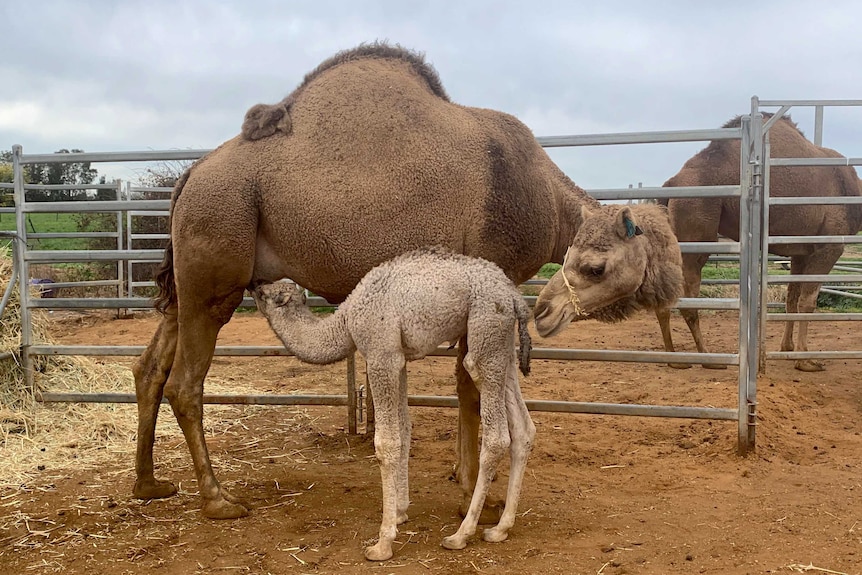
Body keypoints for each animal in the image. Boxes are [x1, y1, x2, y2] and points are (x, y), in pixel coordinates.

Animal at [253, 249, 536, 564]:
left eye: (266, 294)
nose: (254, 284)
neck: (347, 321)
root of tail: (514, 296)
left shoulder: (381, 356)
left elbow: (386, 442)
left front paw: (383, 542)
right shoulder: (398, 360)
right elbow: (404, 429)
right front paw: (400, 512)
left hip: (485, 330)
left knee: (496, 434)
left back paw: (461, 534)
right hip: (502, 347)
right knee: (524, 428)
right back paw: (501, 528)